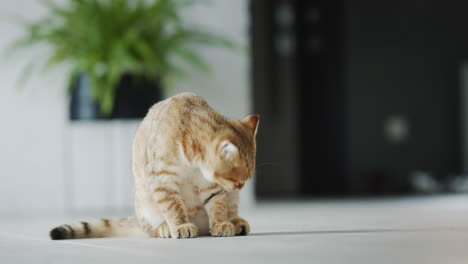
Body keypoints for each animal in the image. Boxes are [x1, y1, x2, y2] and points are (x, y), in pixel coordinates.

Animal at [50, 92, 260, 239]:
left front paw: (221, 224)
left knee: (230, 210)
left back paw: (236, 223)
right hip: (144, 202)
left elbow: (217, 206)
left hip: (232, 199)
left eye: (246, 179)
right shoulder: (162, 177)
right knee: (153, 228)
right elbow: (174, 206)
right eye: (236, 179)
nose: (240, 187)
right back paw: (165, 228)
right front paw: (180, 226)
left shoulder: (211, 186)